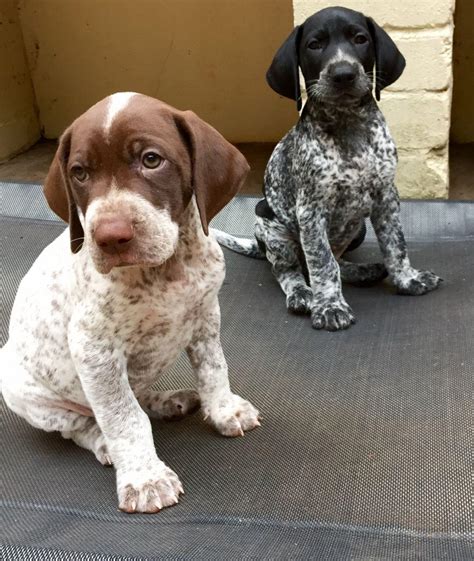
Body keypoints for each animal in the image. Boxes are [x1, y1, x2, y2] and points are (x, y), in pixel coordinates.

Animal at [0, 92, 260, 512]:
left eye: (151, 160)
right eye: (79, 173)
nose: (109, 237)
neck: (167, 268)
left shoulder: (206, 314)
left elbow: (213, 368)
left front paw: (224, 409)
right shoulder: (95, 350)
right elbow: (123, 418)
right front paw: (145, 478)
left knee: (138, 393)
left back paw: (167, 400)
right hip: (24, 391)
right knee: (83, 426)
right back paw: (104, 442)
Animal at [213, 6, 442, 330]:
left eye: (360, 39)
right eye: (314, 45)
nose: (344, 74)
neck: (348, 125)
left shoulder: (386, 198)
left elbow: (396, 244)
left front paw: (408, 279)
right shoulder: (311, 211)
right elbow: (322, 263)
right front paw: (330, 306)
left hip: (357, 227)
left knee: (339, 260)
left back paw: (363, 271)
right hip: (273, 230)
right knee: (289, 270)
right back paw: (302, 294)